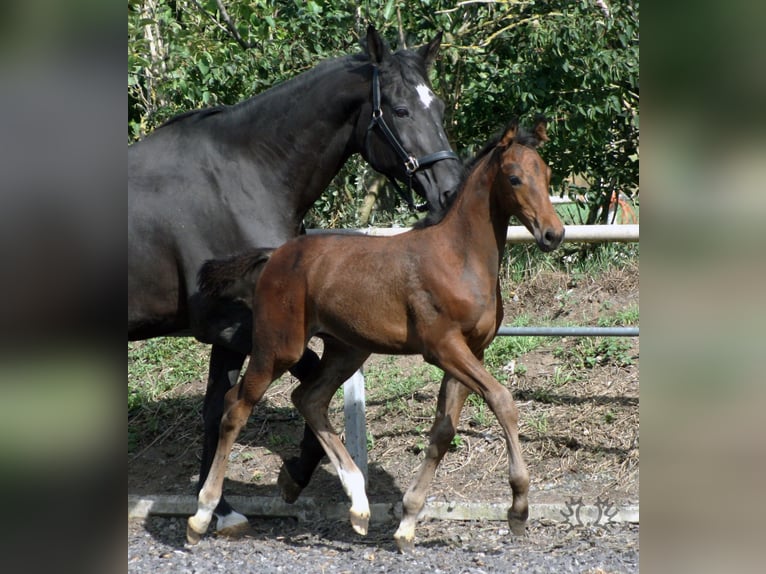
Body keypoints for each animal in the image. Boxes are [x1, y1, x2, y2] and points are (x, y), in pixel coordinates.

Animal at [128, 26, 463, 535]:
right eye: (402, 110)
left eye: (440, 107)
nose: (450, 190)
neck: (243, 177)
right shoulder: (239, 327)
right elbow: (308, 385)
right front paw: (296, 477)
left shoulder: (231, 332)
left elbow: (218, 408)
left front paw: (218, 508)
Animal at [190, 118, 565, 551]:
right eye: (515, 178)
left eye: (548, 175)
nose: (554, 234)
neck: (460, 257)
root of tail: (275, 256)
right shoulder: (443, 347)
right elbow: (503, 400)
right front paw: (518, 508)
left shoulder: (472, 350)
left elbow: (442, 431)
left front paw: (408, 522)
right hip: (278, 347)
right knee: (236, 406)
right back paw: (203, 516)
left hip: (348, 349)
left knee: (309, 398)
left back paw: (358, 505)